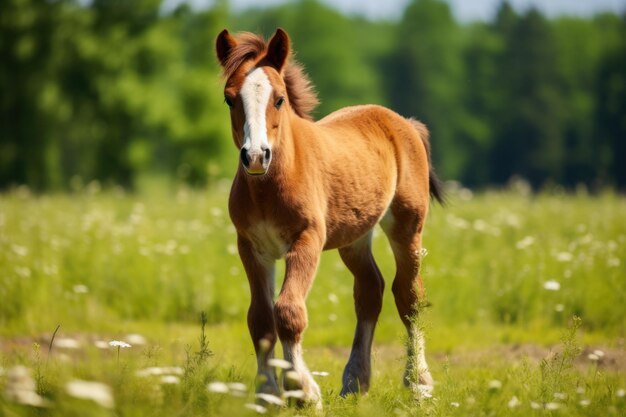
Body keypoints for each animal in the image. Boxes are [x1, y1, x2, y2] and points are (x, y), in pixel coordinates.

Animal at [217, 28, 442, 406]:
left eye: (279, 99)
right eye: (229, 99)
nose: (256, 156)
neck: (270, 184)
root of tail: (404, 123)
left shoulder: (306, 240)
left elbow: (288, 312)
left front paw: (303, 392)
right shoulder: (251, 247)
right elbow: (260, 319)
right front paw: (267, 394)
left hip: (408, 225)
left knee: (409, 295)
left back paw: (419, 383)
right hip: (355, 237)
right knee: (370, 291)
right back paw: (355, 382)